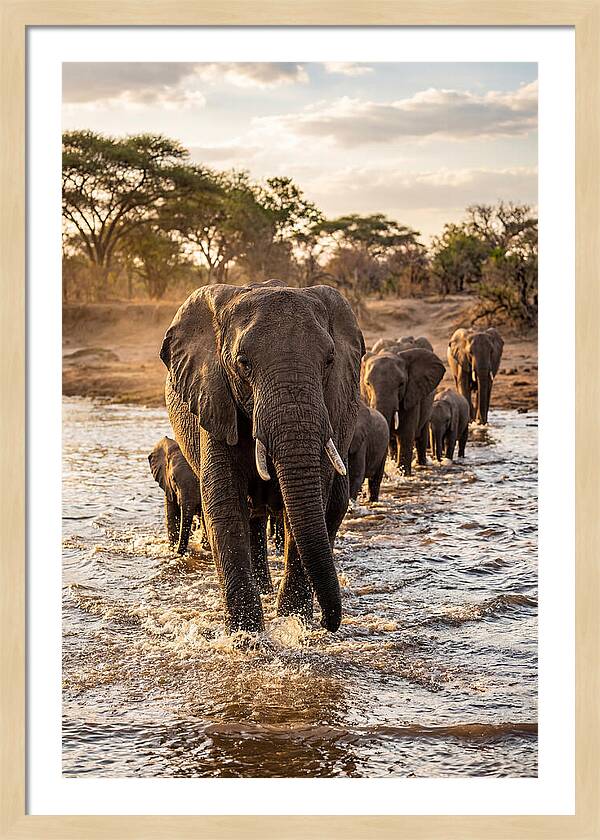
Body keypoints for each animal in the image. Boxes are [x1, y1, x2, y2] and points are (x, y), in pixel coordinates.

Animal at [160, 282, 364, 634]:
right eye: (243, 363)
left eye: (329, 360)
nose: (329, 623)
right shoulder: (214, 399)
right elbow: (224, 504)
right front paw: (247, 636)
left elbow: (312, 501)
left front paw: (294, 625)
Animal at [361, 339, 445, 476]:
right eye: (367, 384)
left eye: (401, 384)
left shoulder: (412, 393)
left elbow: (405, 436)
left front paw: (404, 475)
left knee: (421, 434)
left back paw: (421, 464)